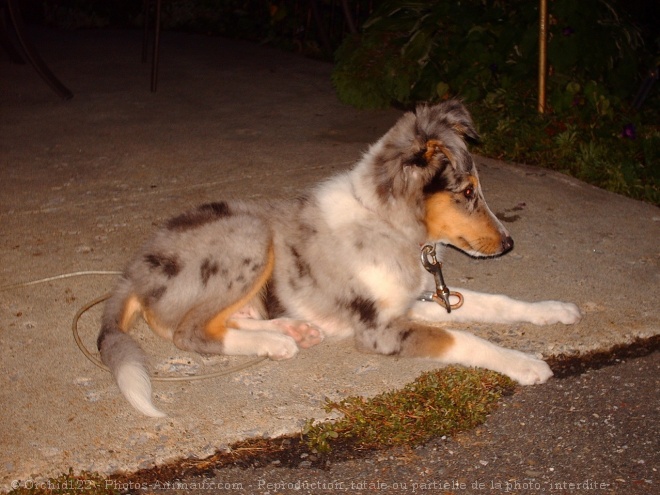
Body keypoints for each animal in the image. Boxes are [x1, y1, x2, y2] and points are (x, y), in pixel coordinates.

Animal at [95, 99, 580, 416]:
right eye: (466, 193)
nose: (509, 244)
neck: (388, 224)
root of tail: (133, 270)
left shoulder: (420, 300)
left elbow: (497, 302)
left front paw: (555, 309)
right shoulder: (380, 330)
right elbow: (464, 339)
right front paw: (526, 364)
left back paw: (290, 330)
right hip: (250, 234)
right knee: (190, 332)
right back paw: (276, 342)